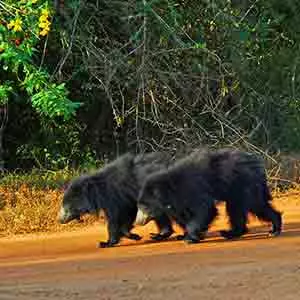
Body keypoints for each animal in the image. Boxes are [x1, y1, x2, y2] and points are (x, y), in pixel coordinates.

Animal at [137, 148, 282, 244]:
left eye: (144, 207)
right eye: (140, 206)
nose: (138, 221)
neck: (170, 188)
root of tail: (258, 164)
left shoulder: (193, 188)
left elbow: (206, 210)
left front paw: (190, 238)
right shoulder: (178, 201)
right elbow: (183, 214)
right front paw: (184, 235)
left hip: (244, 183)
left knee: (250, 206)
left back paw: (272, 230)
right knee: (245, 208)